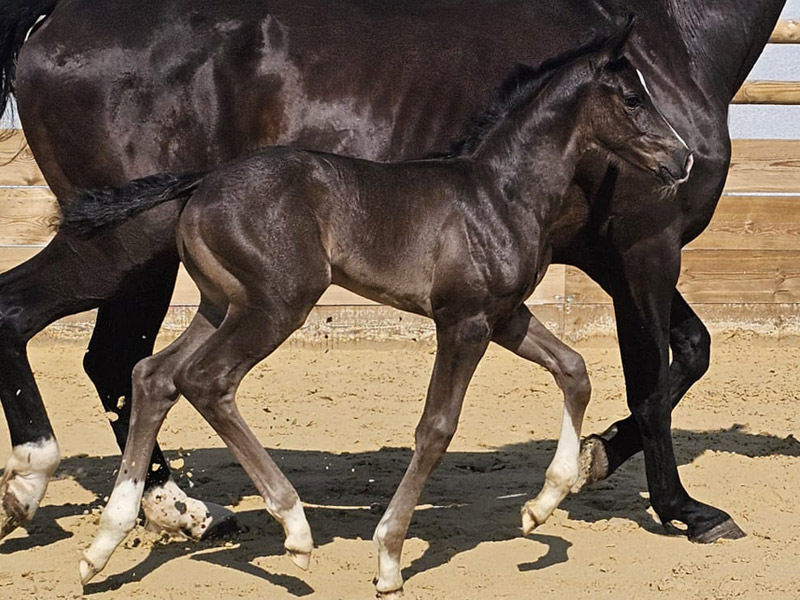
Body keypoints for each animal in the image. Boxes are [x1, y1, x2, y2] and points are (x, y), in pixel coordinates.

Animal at [0, 0, 785, 550]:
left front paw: (572, 478)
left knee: (134, 367)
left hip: (187, 280)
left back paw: (149, 521)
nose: (679, 158)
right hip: (166, 262)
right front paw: (687, 511)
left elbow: (640, 361)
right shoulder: (629, 253)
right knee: (90, 341)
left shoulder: (559, 287)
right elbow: (641, 381)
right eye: (630, 97)